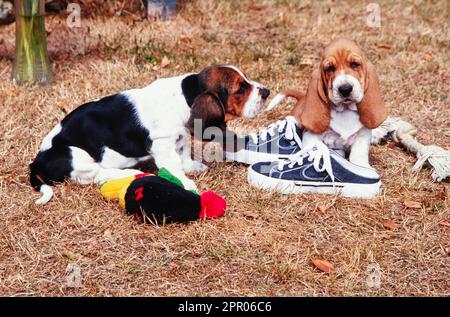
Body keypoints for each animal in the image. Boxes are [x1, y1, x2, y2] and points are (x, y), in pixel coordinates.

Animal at [31, 65, 270, 202]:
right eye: (240, 89)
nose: (267, 92)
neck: (185, 95)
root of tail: (36, 162)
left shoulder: (179, 137)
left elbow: (183, 156)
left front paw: (192, 167)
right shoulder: (163, 146)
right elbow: (174, 166)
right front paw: (186, 183)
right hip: (74, 153)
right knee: (95, 174)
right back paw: (130, 173)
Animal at [270, 38, 386, 167]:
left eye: (354, 64)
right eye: (330, 68)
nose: (345, 89)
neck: (345, 110)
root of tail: (302, 98)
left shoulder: (363, 136)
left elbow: (358, 155)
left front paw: (363, 167)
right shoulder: (311, 136)